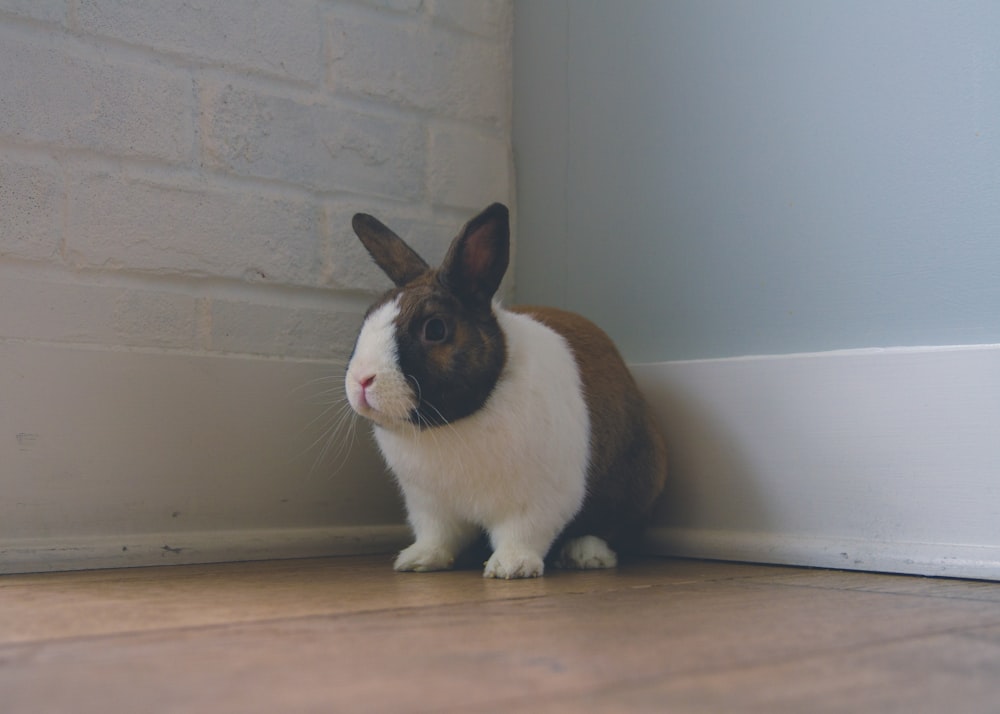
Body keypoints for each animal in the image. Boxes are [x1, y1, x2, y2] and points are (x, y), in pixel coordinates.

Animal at [348, 202, 668, 580]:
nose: (362, 380)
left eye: (435, 329)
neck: (451, 425)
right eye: (367, 318)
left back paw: (586, 555)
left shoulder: (538, 499)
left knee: (608, 530)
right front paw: (418, 560)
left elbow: (522, 533)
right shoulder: (429, 505)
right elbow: (437, 536)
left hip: (633, 488)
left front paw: (510, 567)